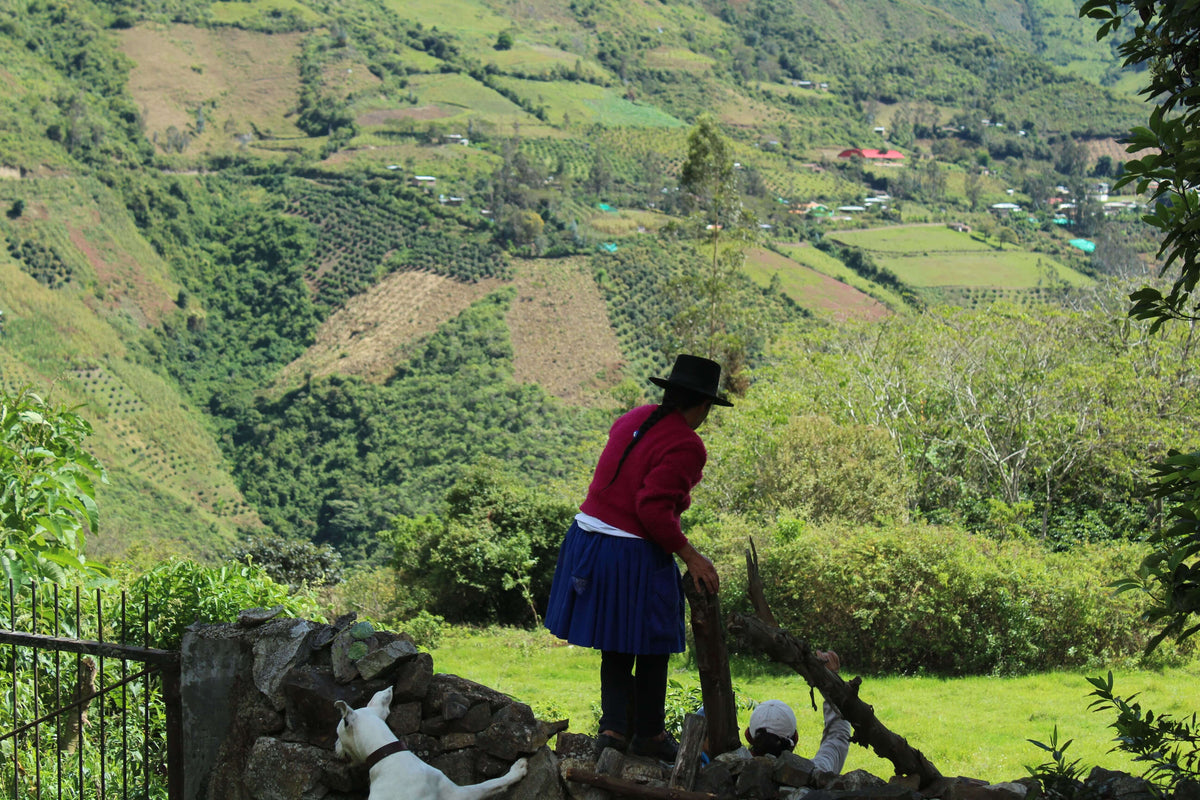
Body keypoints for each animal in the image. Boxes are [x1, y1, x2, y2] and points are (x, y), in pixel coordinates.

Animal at [336, 690, 528, 800]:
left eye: (337, 734)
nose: (334, 745)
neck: (388, 755)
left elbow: (490, 784)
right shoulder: (458, 794)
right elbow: (489, 784)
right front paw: (516, 771)